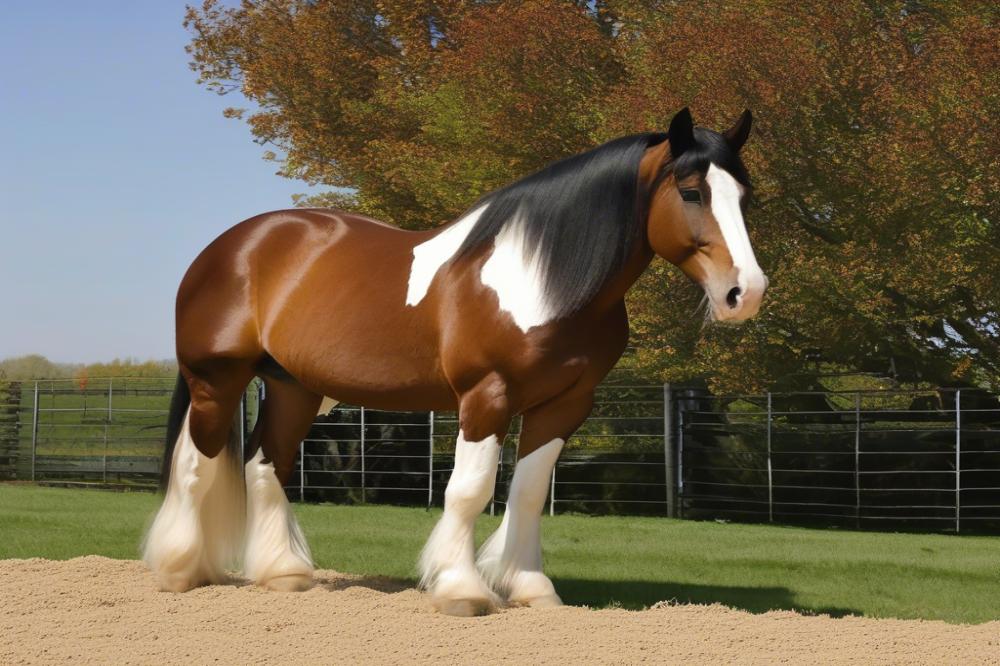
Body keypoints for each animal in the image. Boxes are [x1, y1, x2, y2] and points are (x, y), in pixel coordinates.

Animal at [141, 107, 764, 612]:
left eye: (744, 196)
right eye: (691, 192)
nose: (745, 292)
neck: (540, 279)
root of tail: (232, 246)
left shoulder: (565, 405)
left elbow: (528, 491)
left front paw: (531, 588)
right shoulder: (486, 396)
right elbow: (470, 490)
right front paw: (463, 590)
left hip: (295, 386)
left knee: (264, 465)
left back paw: (284, 574)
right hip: (216, 381)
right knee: (196, 464)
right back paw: (178, 571)